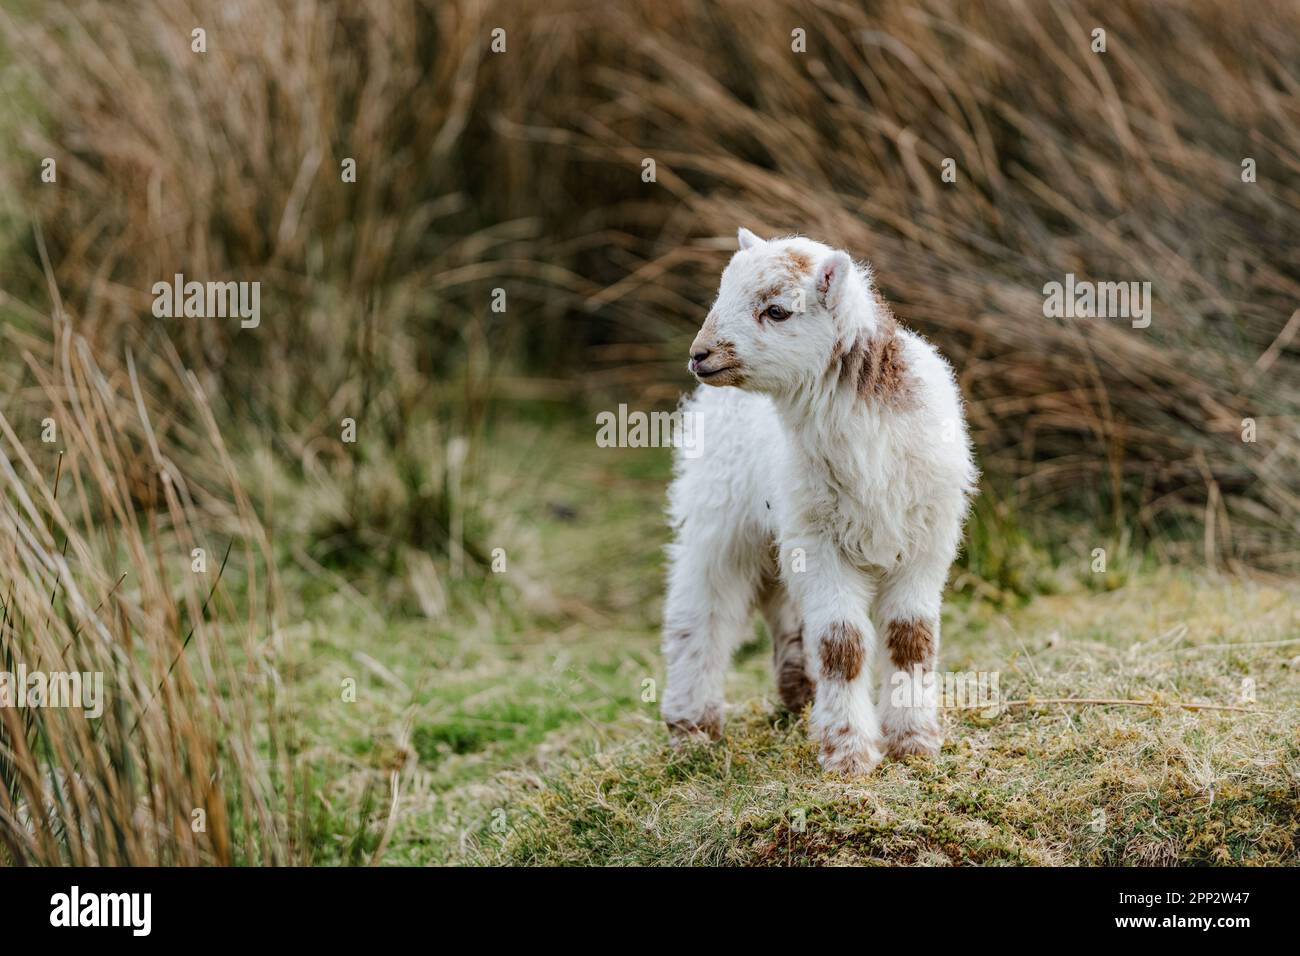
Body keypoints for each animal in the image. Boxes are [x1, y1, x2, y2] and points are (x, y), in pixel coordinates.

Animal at [660, 227, 977, 775]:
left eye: (777, 311)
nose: (700, 354)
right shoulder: (822, 541)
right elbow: (841, 646)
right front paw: (849, 754)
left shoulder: (925, 541)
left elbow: (911, 639)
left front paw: (915, 743)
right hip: (719, 514)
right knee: (698, 610)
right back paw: (692, 726)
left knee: (784, 607)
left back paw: (798, 691)